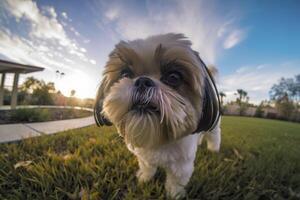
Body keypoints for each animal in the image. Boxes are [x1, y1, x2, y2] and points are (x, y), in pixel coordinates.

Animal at [95, 33, 221, 198]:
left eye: (174, 77)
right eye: (125, 74)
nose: (143, 81)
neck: (159, 138)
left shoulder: (181, 167)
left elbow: (175, 183)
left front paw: (174, 195)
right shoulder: (144, 158)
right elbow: (147, 168)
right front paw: (144, 179)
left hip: (214, 128)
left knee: (214, 137)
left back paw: (214, 150)